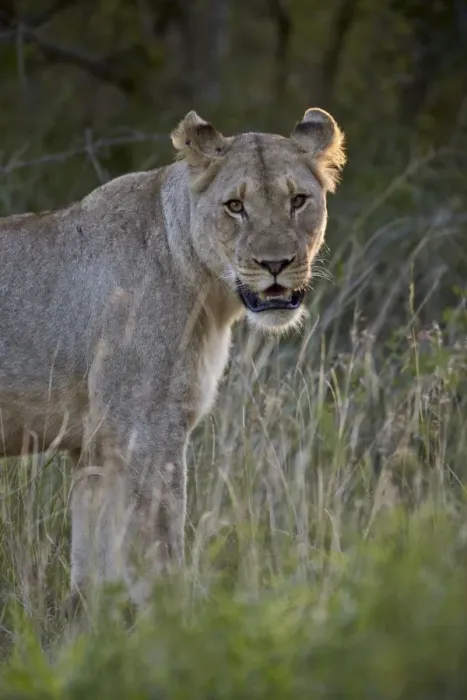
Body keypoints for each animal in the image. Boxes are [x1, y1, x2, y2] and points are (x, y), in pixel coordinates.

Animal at [0, 108, 345, 607]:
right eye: (235, 206)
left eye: (298, 200)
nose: (275, 264)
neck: (208, 293)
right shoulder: (147, 429)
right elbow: (161, 555)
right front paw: (181, 621)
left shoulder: (96, 448)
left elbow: (92, 580)